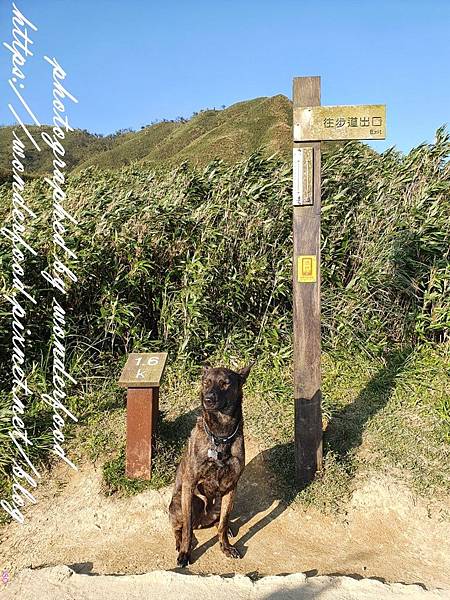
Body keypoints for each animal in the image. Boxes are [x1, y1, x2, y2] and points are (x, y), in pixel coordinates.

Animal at [170, 364, 253, 564]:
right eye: (206, 382)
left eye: (225, 383)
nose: (208, 399)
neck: (220, 435)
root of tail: (202, 522)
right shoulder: (190, 484)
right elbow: (187, 530)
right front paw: (185, 553)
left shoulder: (231, 487)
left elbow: (223, 522)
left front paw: (225, 547)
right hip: (189, 500)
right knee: (180, 527)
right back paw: (180, 542)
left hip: (219, 502)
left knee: (219, 520)